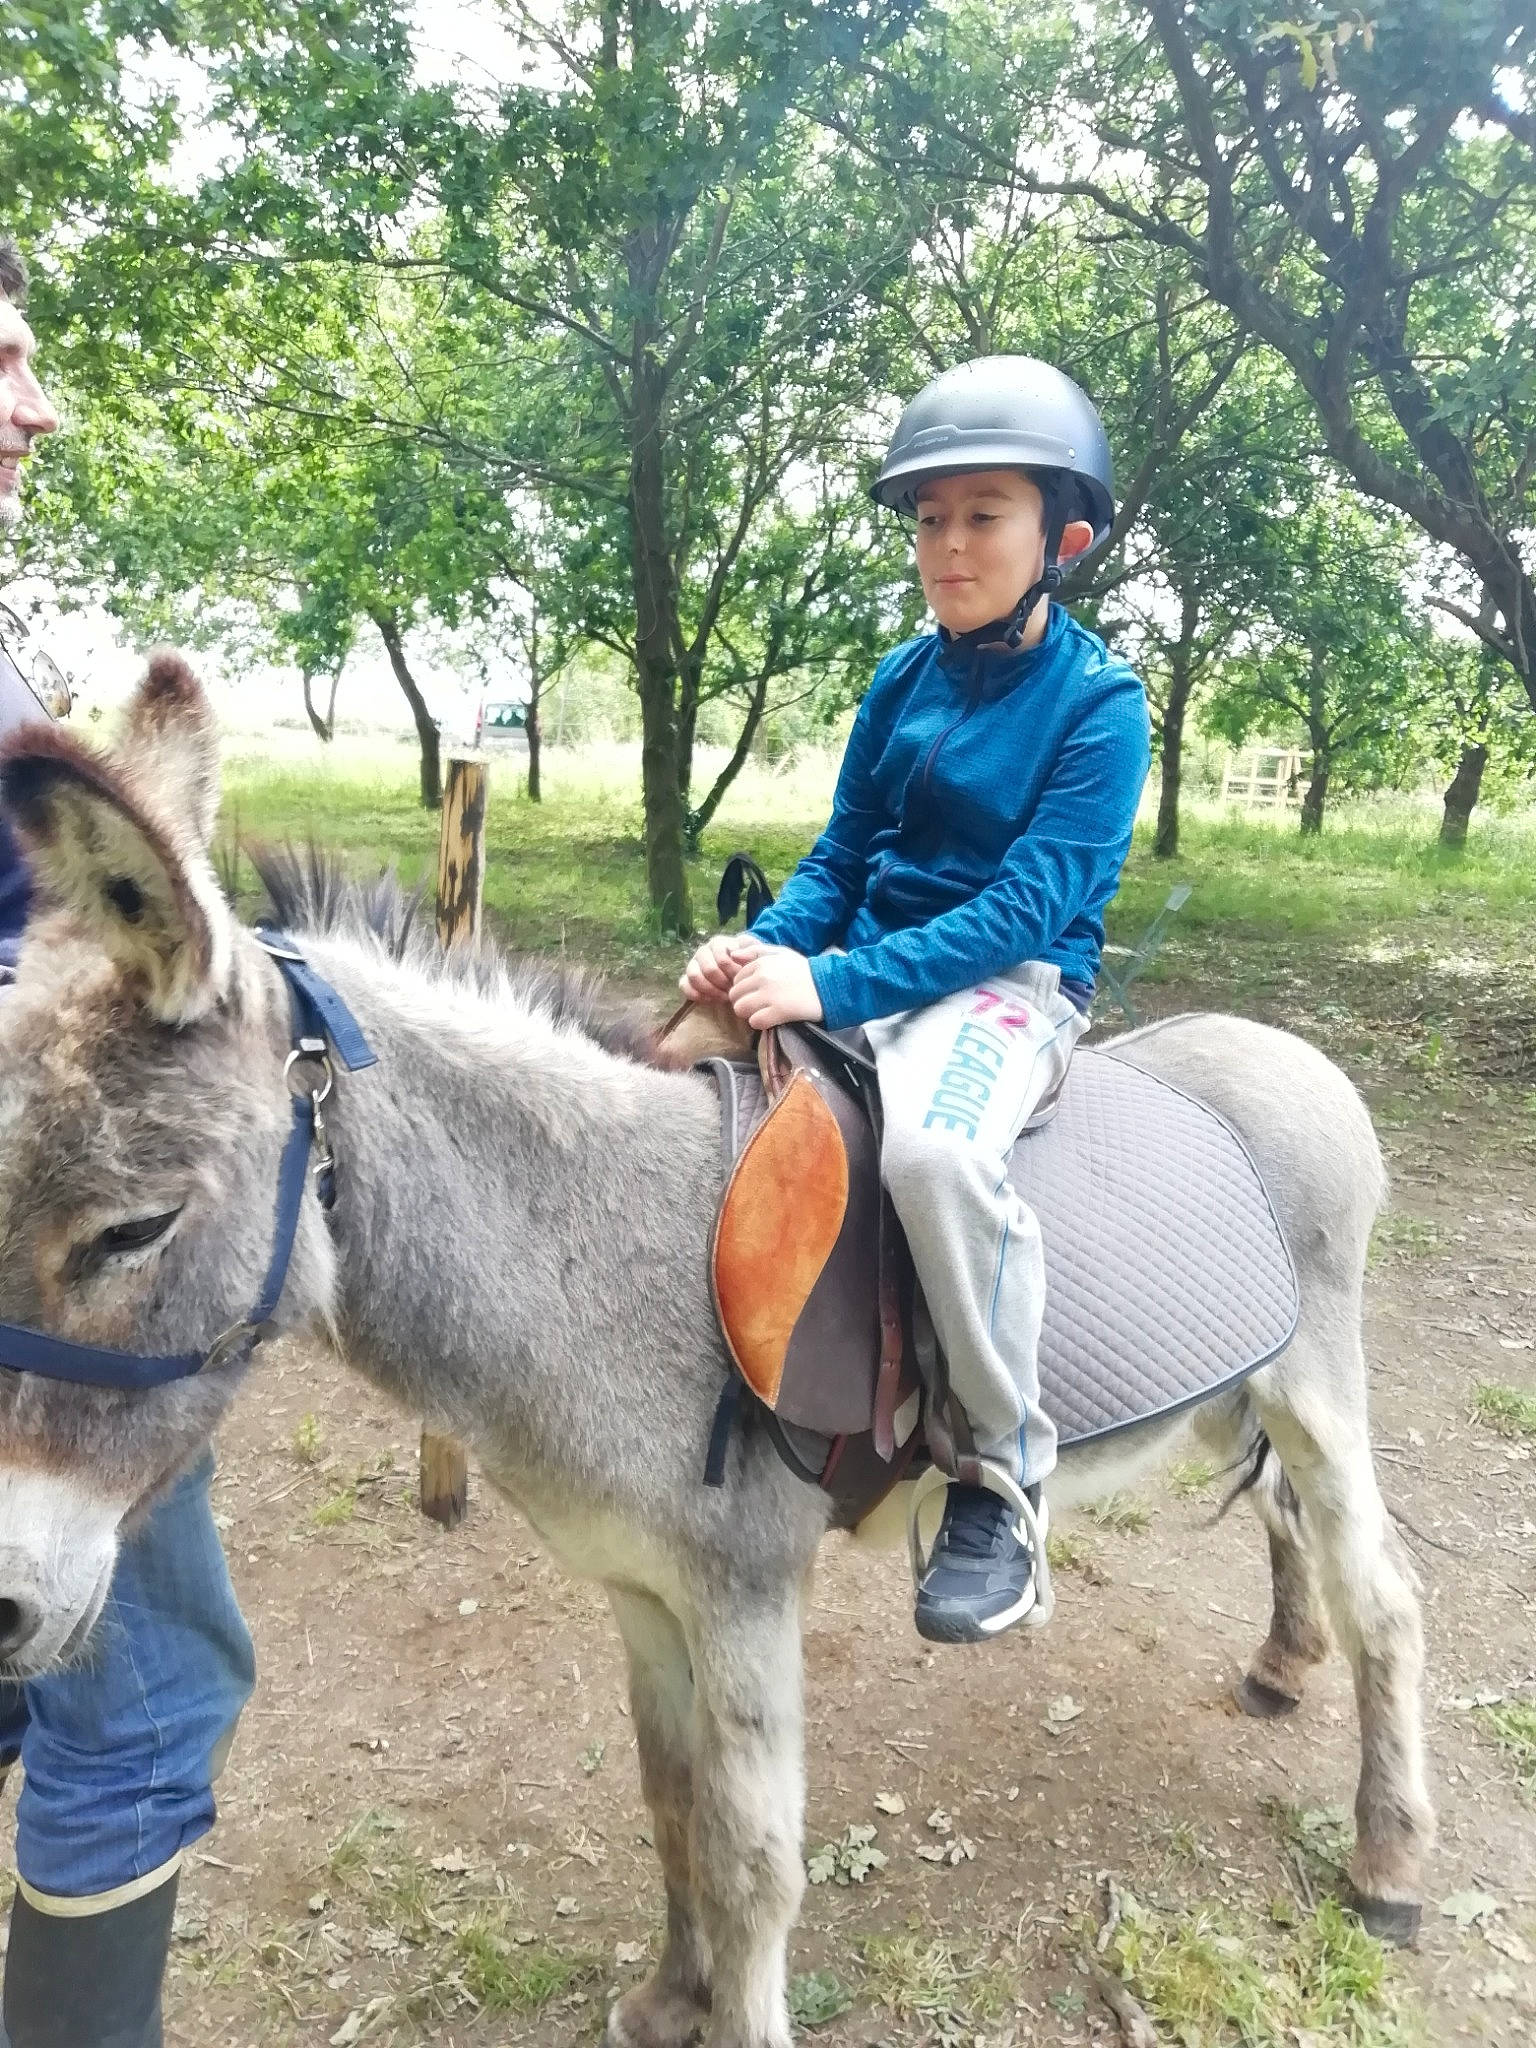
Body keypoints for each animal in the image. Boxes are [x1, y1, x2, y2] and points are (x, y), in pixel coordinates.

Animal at [0, 656, 1432, 2048]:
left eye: (132, 1229)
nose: (5, 1608)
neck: (600, 1246)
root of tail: (1291, 1049)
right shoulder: (643, 1590)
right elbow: (670, 1796)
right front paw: (672, 1994)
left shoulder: (743, 1592)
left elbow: (753, 1857)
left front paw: (726, 2004)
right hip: (1237, 1394)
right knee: (1293, 1525)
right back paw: (1282, 1665)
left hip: (1317, 1388)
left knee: (1386, 1595)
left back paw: (1390, 1867)